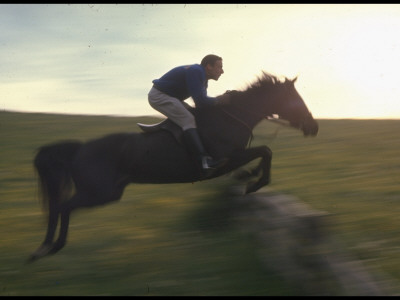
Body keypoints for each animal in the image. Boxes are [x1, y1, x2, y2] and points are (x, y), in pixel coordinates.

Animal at [28, 71, 318, 262]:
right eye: (295, 99)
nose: (313, 127)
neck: (232, 116)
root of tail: (80, 149)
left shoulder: (234, 157)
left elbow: (263, 153)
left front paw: (249, 175)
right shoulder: (226, 159)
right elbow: (265, 151)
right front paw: (253, 181)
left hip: (107, 192)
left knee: (59, 207)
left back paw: (45, 249)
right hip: (100, 192)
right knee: (63, 207)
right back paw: (53, 247)